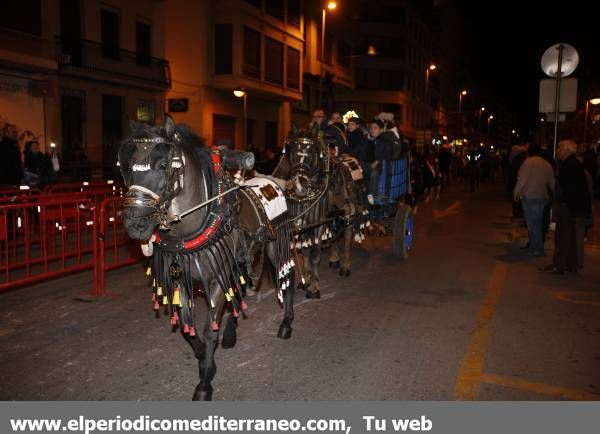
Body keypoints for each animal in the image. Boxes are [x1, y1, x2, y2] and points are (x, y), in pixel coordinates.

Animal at [118, 116, 296, 400]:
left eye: (164, 164)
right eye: (129, 166)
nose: (135, 222)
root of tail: (273, 180)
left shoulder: (215, 280)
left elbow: (209, 329)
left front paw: (204, 381)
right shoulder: (181, 280)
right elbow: (186, 328)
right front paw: (203, 357)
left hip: (275, 244)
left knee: (286, 279)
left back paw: (286, 324)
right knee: (238, 289)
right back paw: (232, 333)